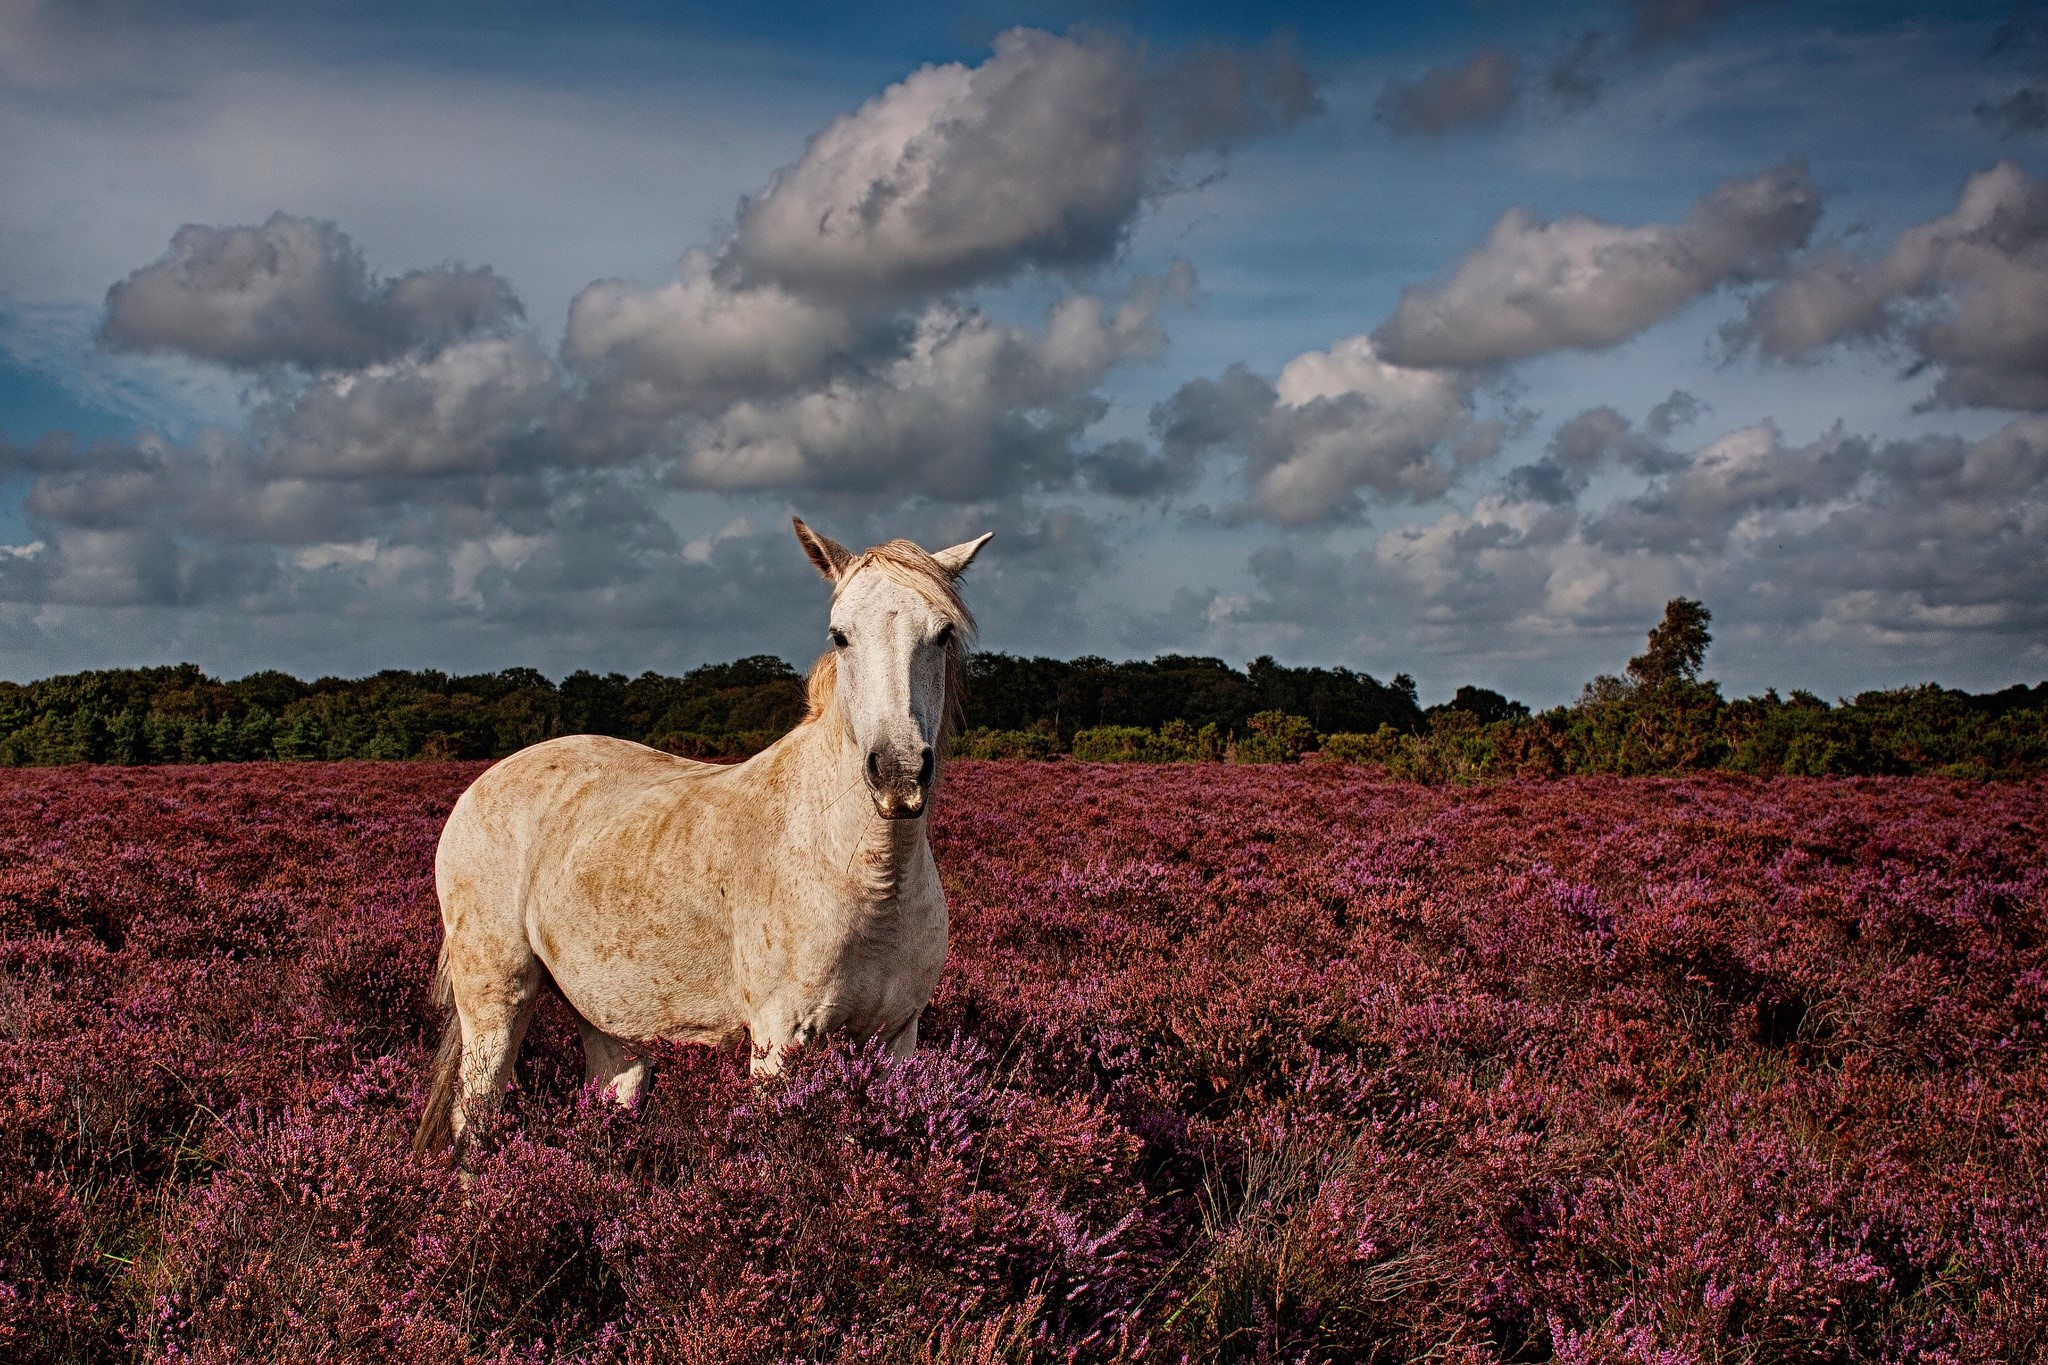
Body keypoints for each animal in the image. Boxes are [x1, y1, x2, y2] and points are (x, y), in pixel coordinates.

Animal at [413, 518, 991, 1155]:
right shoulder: (779, 1039)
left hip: (606, 1013)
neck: (872, 878)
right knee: (475, 1116)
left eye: (941, 634)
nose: (898, 772)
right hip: (495, 994)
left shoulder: (895, 1040)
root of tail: (481, 785)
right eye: (840, 636)